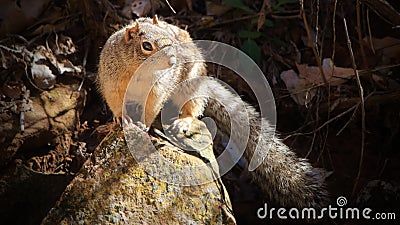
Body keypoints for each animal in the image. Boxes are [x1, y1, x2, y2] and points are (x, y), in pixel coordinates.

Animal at [97, 16, 328, 208]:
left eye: (171, 40)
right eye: (146, 46)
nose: (173, 61)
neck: (140, 73)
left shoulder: (158, 90)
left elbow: (152, 108)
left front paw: (143, 125)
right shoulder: (112, 84)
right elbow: (115, 103)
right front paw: (121, 118)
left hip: (189, 86)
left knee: (193, 108)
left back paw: (183, 121)